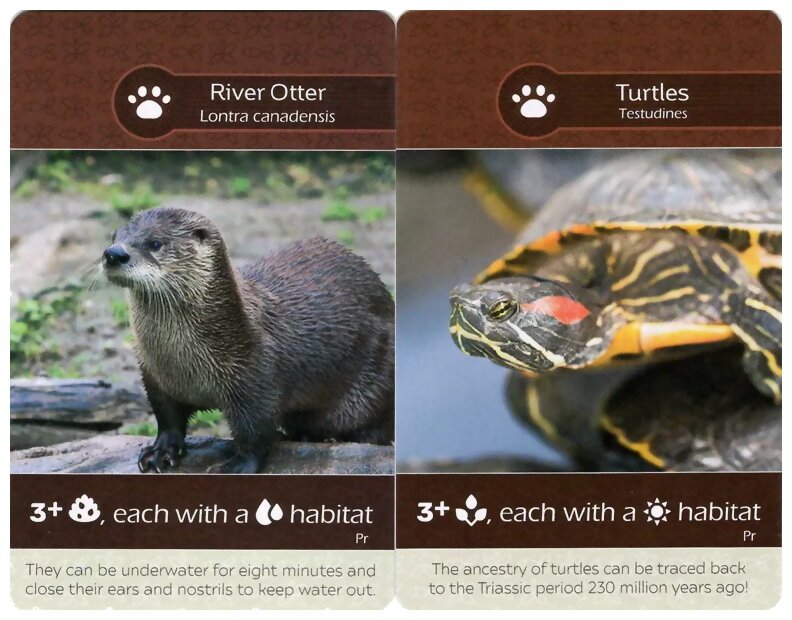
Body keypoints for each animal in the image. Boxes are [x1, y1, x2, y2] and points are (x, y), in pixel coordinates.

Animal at [102, 207, 394, 473]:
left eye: (155, 243)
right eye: (114, 236)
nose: (113, 254)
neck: (182, 363)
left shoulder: (256, 379)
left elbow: (255, 432)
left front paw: (236, 466)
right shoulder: (154, 377)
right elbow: (167, 418)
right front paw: (162, 450)